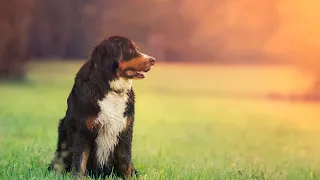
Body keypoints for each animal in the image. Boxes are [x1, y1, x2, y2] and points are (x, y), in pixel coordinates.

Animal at [47, 35, 156, 179]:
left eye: (136, 48)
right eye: (130, 50)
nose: (153, 60)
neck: (110, 87)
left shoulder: (125, 131)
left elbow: (125, 162)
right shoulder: (82, 131)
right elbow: (80, 162)